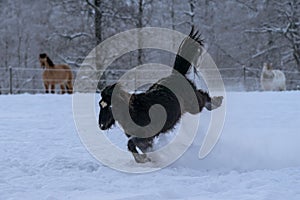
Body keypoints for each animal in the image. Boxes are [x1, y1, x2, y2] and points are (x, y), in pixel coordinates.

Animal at [98, 27, 223, 162]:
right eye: (100, 105)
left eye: (109, 106)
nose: (101, 126)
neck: (134, 110)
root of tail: (176, 74)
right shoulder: (144, 138)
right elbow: (138, 146)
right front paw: (146, 158)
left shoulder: (147, 134)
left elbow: (132, 143)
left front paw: (144, 159)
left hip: (193, 105)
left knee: (203, 97)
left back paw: (217, 101)